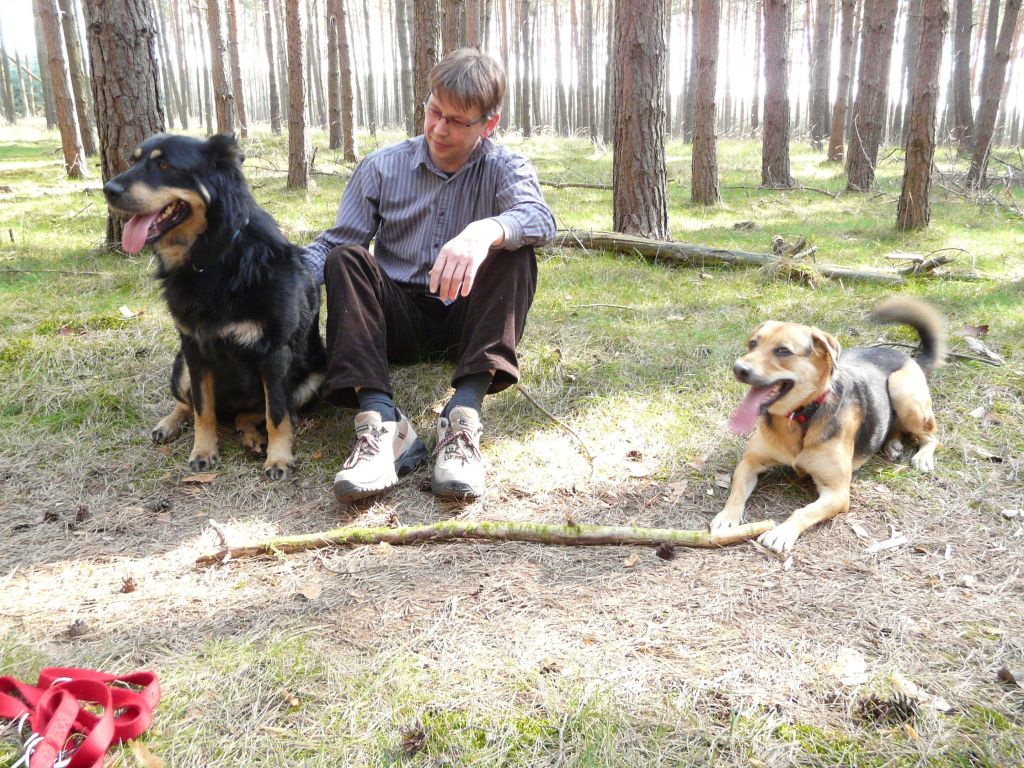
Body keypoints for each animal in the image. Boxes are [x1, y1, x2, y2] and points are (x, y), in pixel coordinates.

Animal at [103, 133, 326, 480]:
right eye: (133, 161)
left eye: (164, 166)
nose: (108, 190)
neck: (214, 260)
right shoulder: (195, 350)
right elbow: (202, 410)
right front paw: (203, 451)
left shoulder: (276, 354)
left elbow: (276, 414)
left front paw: (278, 458)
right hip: (181, 365)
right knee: (191, 404)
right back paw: (169, 424)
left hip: (311, 379)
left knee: (250, 414)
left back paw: (252, 438)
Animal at [710, 298, 945, 553]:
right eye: (753, 343)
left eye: (783, 351)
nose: (738, 368)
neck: (800, 415)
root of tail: (910, 357)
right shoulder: (749, 463)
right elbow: (737, 490)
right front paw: (727, 516)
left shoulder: (837, 492)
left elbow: (802, 511)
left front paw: (781, 532)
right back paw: (892, 444)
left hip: (901, 389)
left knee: (932, 435)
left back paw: (922, 456)